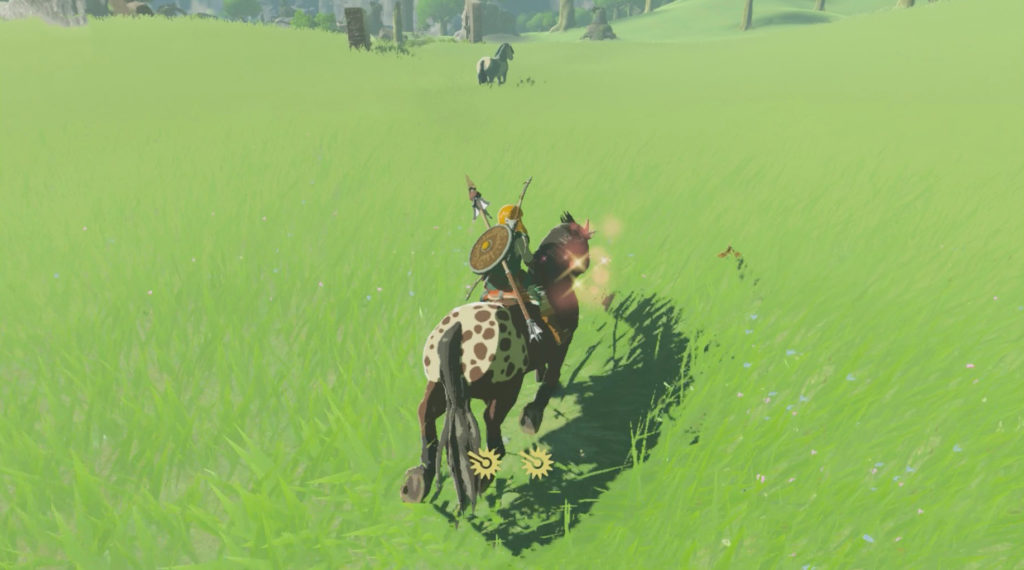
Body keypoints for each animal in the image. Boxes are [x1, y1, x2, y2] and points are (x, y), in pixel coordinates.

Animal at [401, 212, 594, 514]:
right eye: (582, 241)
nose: (586, 263)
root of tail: (456, 333)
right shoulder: (562, 346)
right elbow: (550, 381)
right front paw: (532, 417)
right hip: (504, 392)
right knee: (492, 430)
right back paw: (483, 477)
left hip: (437, 388)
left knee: (426, 418)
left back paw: (418, 481)